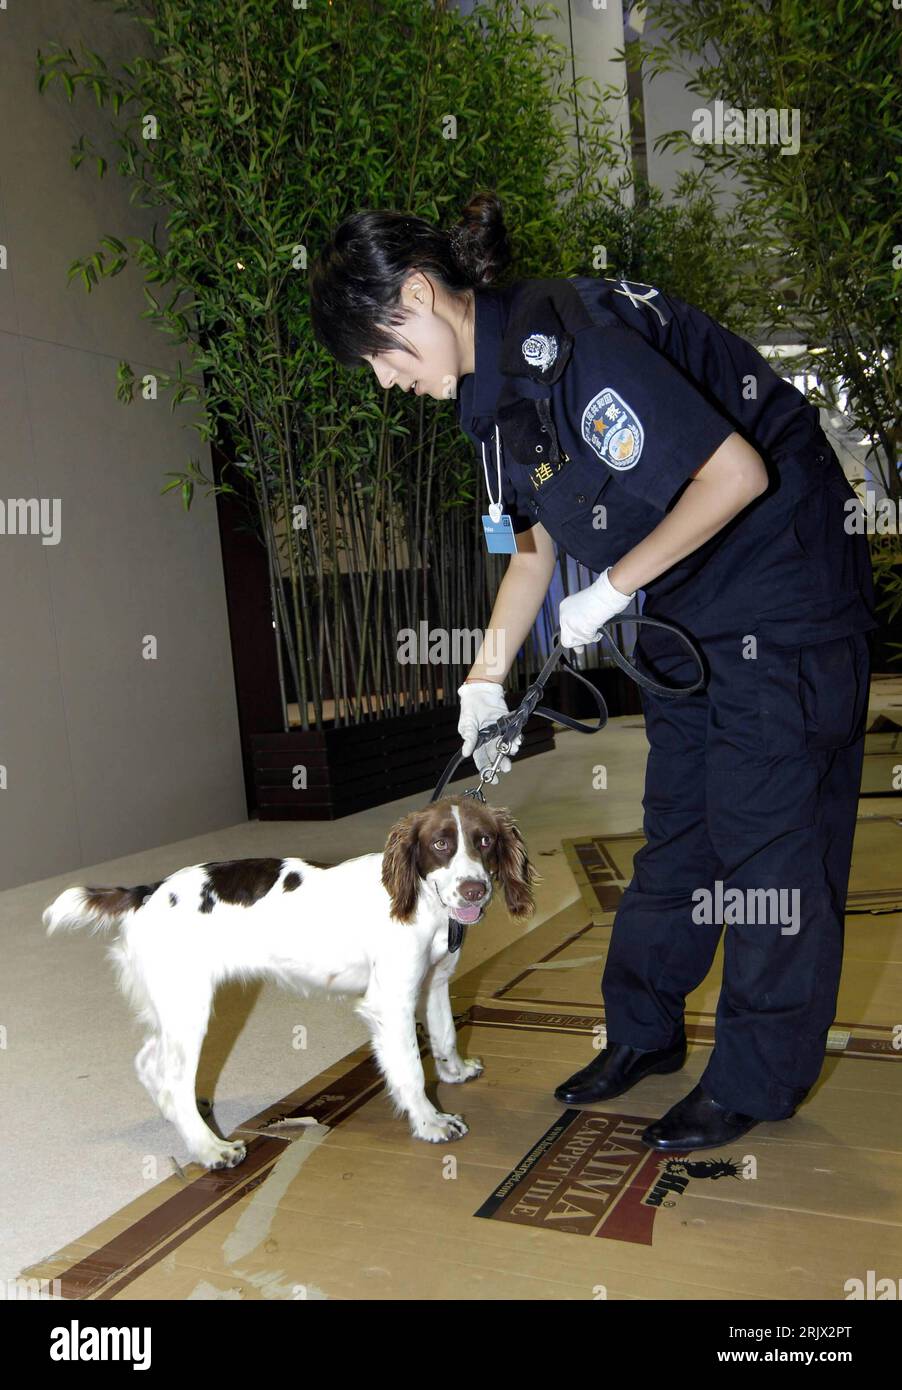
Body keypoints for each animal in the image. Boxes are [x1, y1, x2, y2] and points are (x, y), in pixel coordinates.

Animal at [42, 800, 533, 1167]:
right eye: (439, 844)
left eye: (484, 841)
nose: (473, 890)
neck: (420, 901)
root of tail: (147, 891)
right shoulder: (390, 1001)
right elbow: (411, 1069)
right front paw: (431, 1123)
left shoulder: (435, 981)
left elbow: (445, 1036)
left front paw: (455, 1073)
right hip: (189, 1008)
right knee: (172, 1077)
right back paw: (210, 1148)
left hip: (172, 1005)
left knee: (150, 1063)